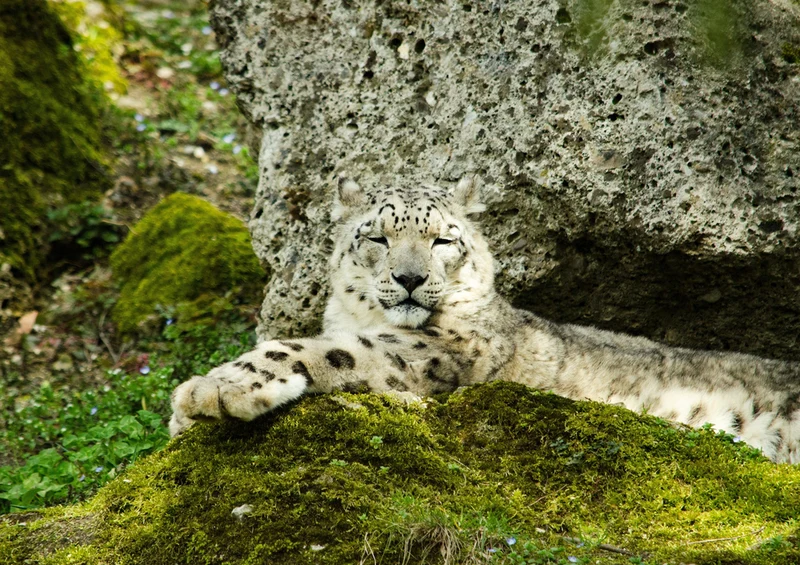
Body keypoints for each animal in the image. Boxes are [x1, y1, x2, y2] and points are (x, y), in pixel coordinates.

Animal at [170, 176, 800, 463]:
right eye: (377, 237)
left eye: (443, 239)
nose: (409, 278)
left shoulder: (424, 353)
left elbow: (315, 349)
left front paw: (210, 391)